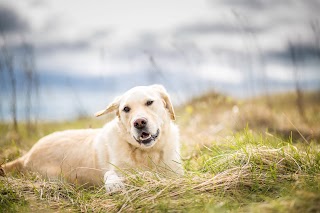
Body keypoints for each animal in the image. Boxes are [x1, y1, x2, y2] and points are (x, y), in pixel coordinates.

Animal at [1, 84, 184, 192]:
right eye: (126, 109)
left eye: (149, 102)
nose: (139, 122)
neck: (147, 153)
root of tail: (27, 155)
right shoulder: (117, 169)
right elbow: (111, 174)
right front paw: (114, 184)